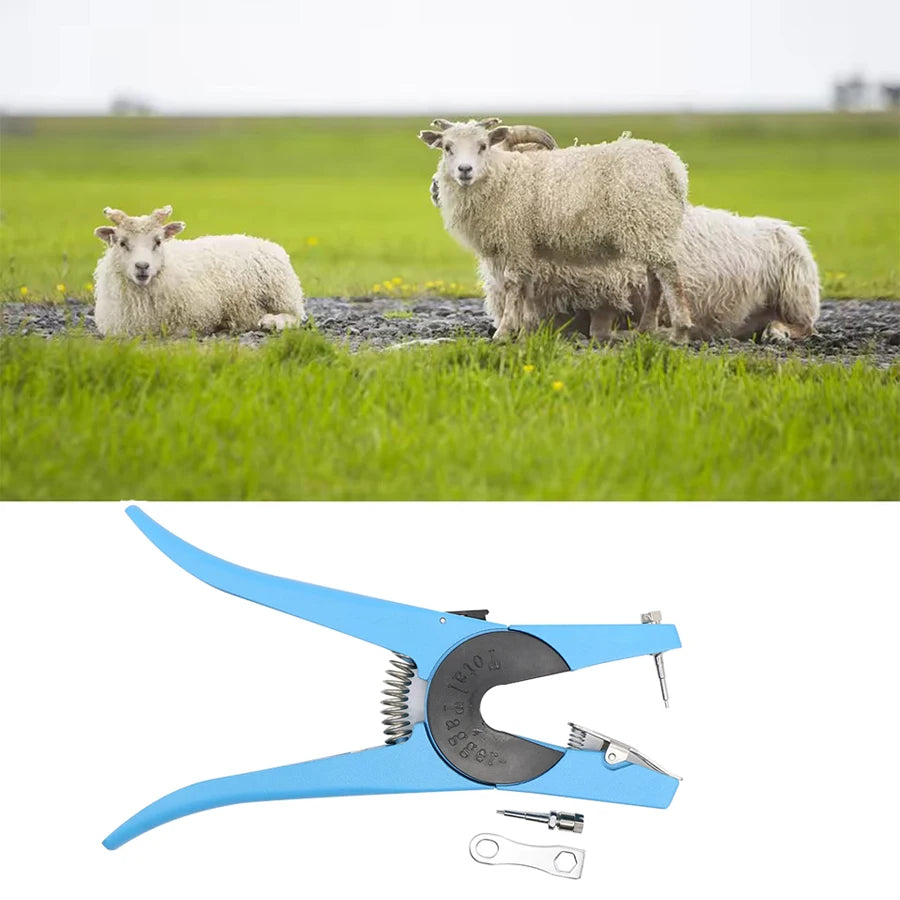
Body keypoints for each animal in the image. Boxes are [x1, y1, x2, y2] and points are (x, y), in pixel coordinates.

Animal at [92, 206, 306, 337]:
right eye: (122, 243)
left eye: (158, 241)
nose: (142, 266)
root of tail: (264, 241)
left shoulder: (196, 318)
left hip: (281, 294)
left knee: (294, 316)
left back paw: (271, 322)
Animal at [418, 117, 693, 340]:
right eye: (447, 148)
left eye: (482, 146)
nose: (465, 170)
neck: (503, 176)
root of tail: (671, 166)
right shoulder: (526, 245)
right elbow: (527, 286)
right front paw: (528, 328)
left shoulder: (515, 239)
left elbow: (512, 285)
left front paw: (504, 332)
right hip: (649, 228)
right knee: (655, 278)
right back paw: (647, 328)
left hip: (647, 222)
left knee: (668, 274)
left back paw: (680, 331)